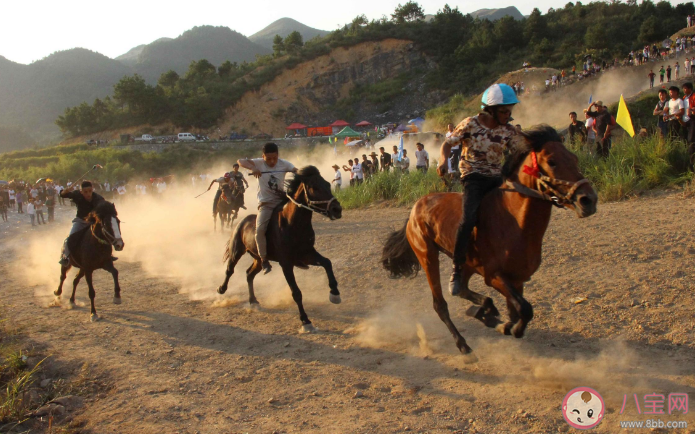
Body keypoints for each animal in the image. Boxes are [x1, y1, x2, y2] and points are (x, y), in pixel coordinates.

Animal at [218, 166, 346, 332]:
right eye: (314, 187)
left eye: (328, 184)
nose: (337, 209)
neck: (293, 224)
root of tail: (242, 221)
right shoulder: (286, 263)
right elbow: (296, 292)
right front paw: (305, 321)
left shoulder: (307, 254)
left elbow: (327, 263)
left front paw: (334, 294)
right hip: (236, 251)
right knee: (230, 270)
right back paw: (221, 289)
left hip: (259, 259)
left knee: (249, 274)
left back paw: (253, 301)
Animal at [380, 124, 600, 356]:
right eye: (552, 161)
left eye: (574, 158)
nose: (588, 200)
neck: (515, 222)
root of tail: (415, 208)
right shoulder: (494, 276)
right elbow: (524, 310)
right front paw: (498, 322)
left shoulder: (517, 279)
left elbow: (516, 314)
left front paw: (491, 317)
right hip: (427, 256)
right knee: (440, 304)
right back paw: (463, 344)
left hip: (465, 263)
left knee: (462, 289)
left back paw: (482, 308)